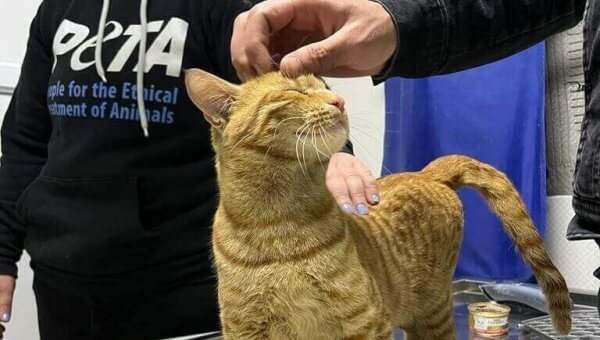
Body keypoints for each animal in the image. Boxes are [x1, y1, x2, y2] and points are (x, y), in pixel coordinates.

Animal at [185, 69, 568, 340]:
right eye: (295, 91)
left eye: (325, 85)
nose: (339, 100)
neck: (278, 225)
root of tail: (425, 173)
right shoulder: (244, 328)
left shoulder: (365, 321)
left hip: (432, 312)